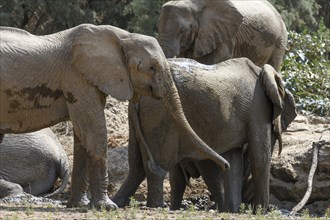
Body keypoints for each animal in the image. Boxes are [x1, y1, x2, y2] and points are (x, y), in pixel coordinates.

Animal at [0, 23, 229, 210]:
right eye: (152, 67)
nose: (225, 165)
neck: (123, 37)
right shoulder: (78, 78)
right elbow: (94, 132)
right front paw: (107, 207)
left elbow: (82, 137)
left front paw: (78, 205)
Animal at [113, 57, 296, 212]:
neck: (263, 70)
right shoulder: (257, 108)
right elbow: (260, 158)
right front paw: (260, 212)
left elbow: (234, 163)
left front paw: (232, 211)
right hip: (160, 116)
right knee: (158, 165)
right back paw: (156, 207)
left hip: (141, 118)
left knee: (137, 166)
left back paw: (119, 203)